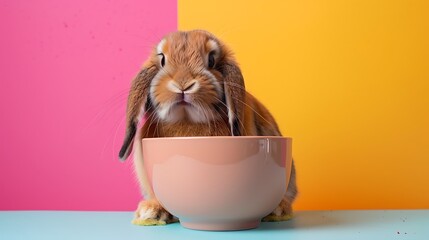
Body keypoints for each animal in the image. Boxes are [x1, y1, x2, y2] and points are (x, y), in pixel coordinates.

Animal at [118, 29, 298, 225]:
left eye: (211, 60)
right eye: (162, 60)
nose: (183, 84)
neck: (187, 120)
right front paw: (152, 211)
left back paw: (279, 209)